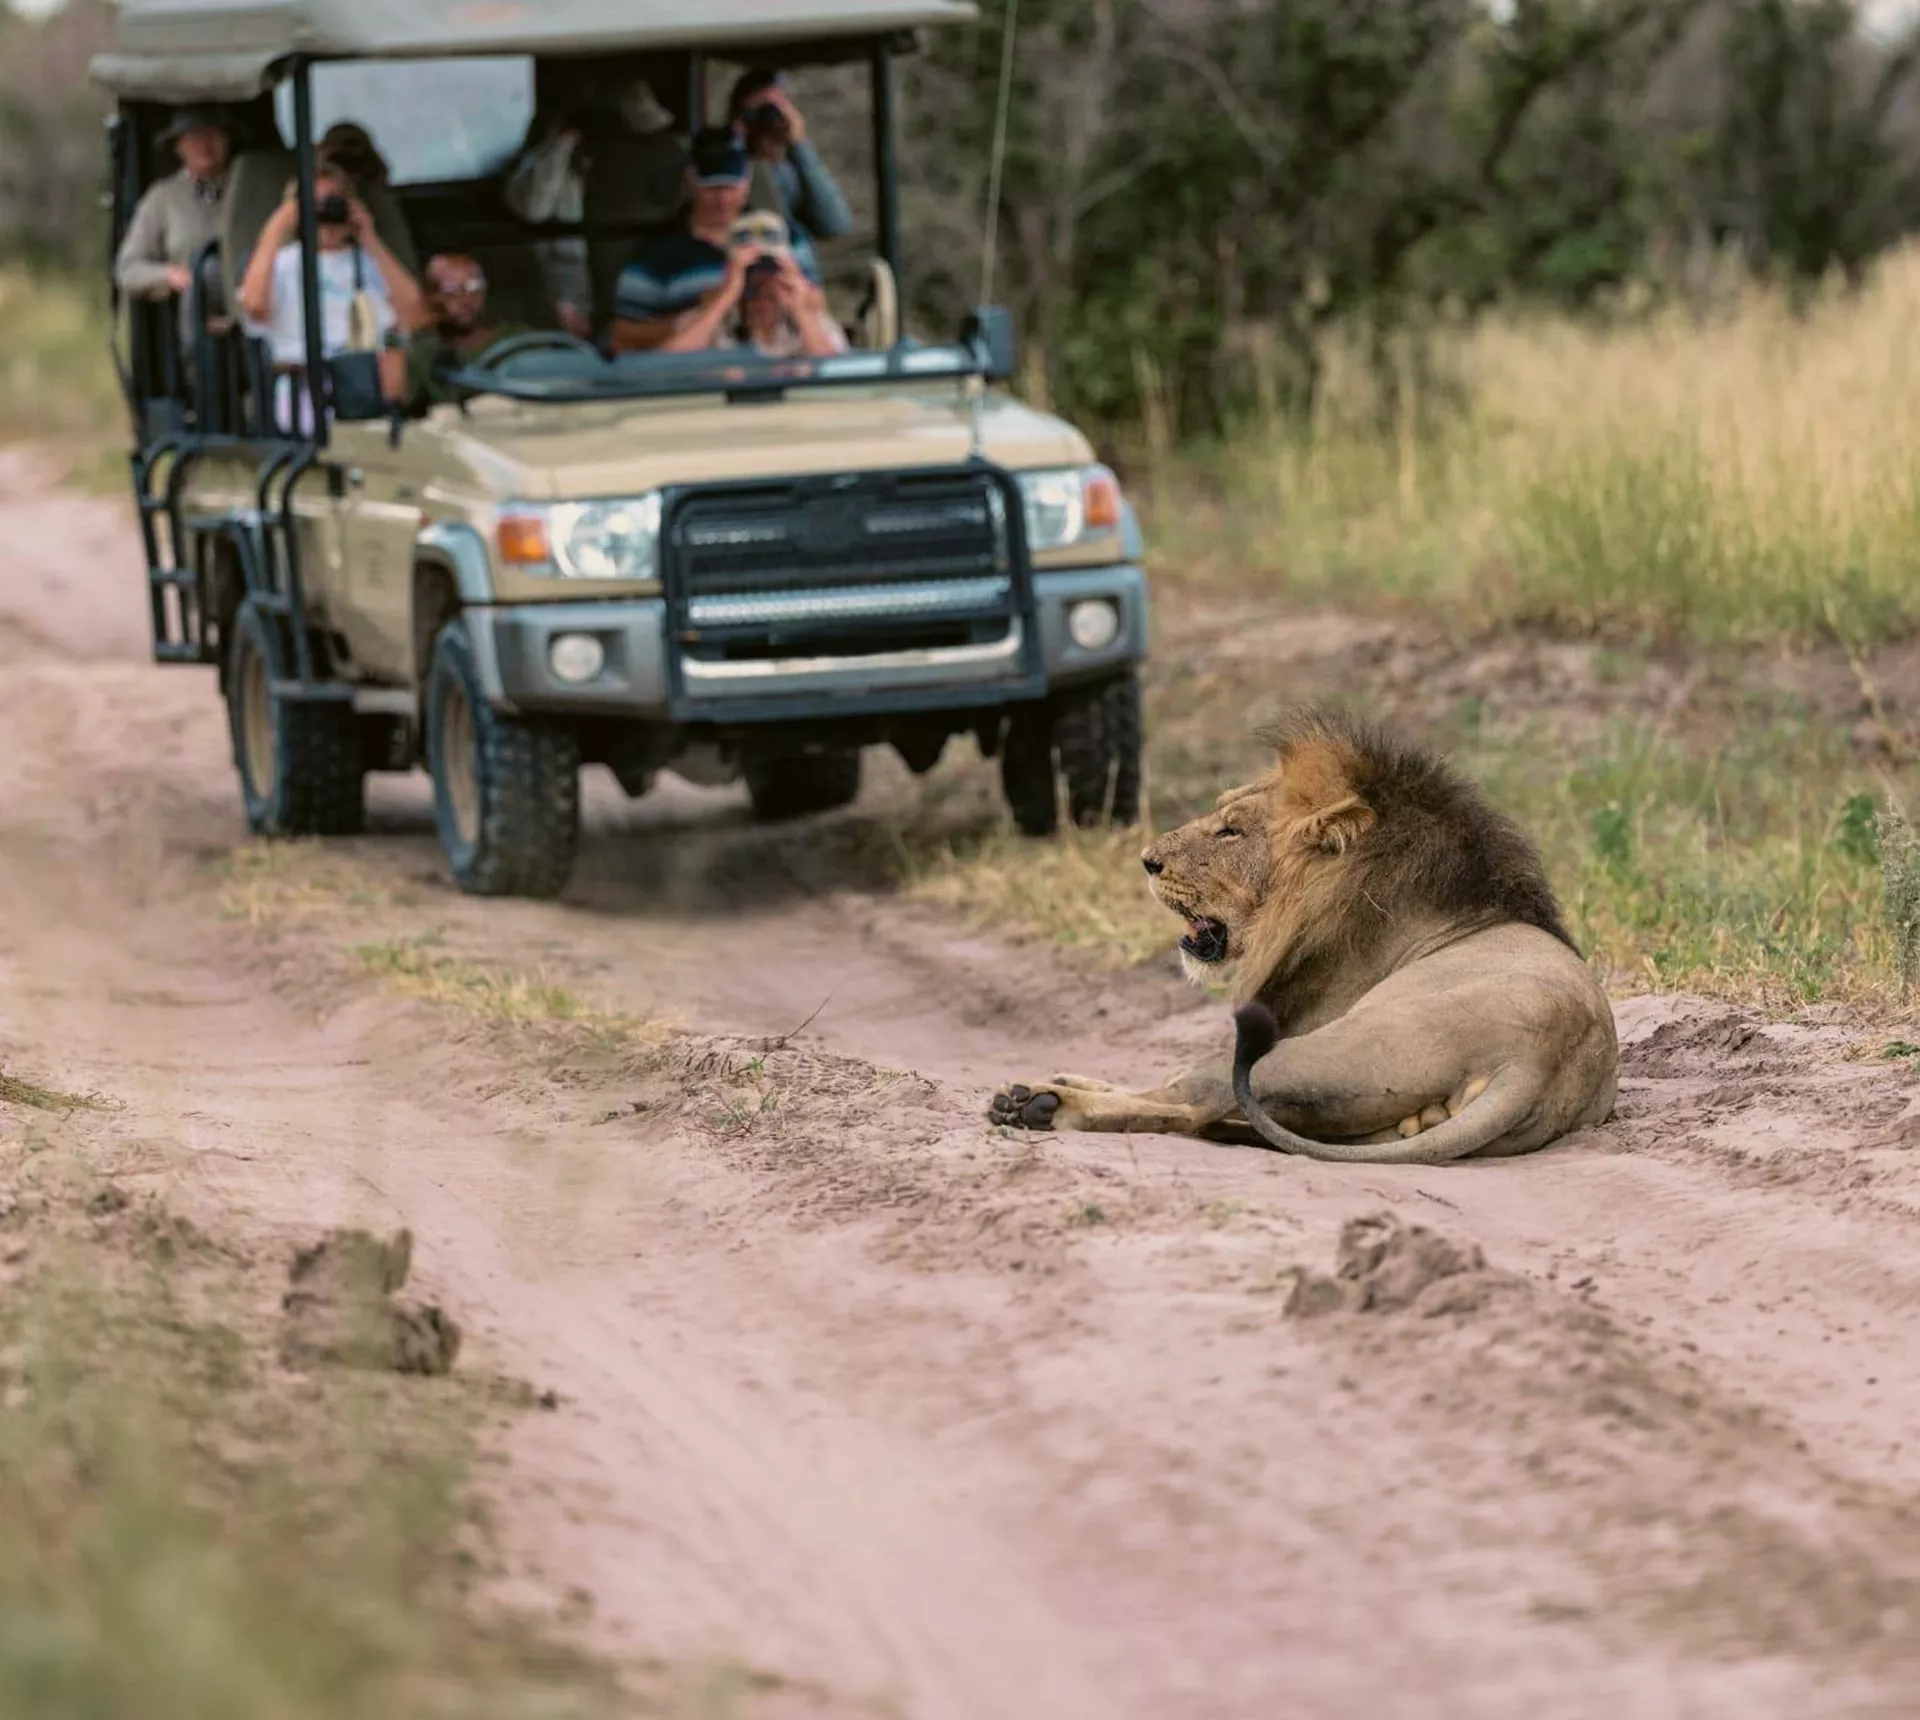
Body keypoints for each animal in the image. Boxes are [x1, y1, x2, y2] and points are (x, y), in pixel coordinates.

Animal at [987, 705, 1618, 1164]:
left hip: (1311, 1051)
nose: (1147, 861)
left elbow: (1175, 1086)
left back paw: (1040, 1103)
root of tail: (1534, 1063)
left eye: (1230, 832)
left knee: (1192, 1101)